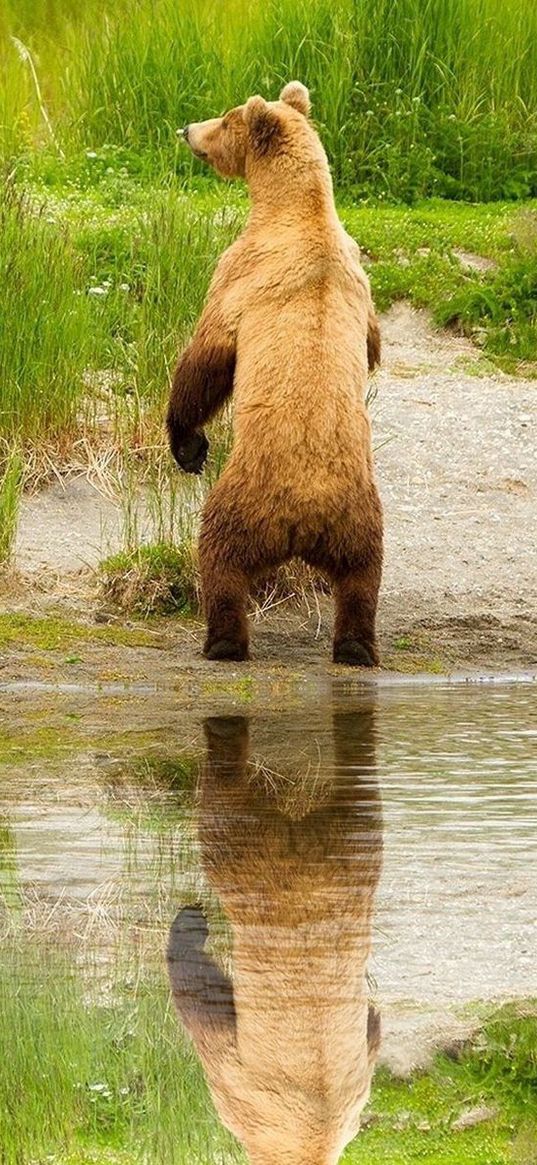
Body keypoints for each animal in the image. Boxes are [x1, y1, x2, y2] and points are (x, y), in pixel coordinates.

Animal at [167, 82, 382, 666]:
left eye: (224, 119)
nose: (186, 129)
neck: (297, 210)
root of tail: (305, 519)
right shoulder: (360, 276)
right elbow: (375, 346)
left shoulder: (242, 272)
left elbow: (207, 358)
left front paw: (188, 445)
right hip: (361, 518)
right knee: (363, 578)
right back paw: (356, 647)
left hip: (246, 498)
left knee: (219, 556)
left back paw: (222, 641)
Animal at [167, 699, 382, 1165]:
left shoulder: (243, 1085)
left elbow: (204, 1009)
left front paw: (191, 925)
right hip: (355, 849)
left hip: (253, 866)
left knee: (221, 808)